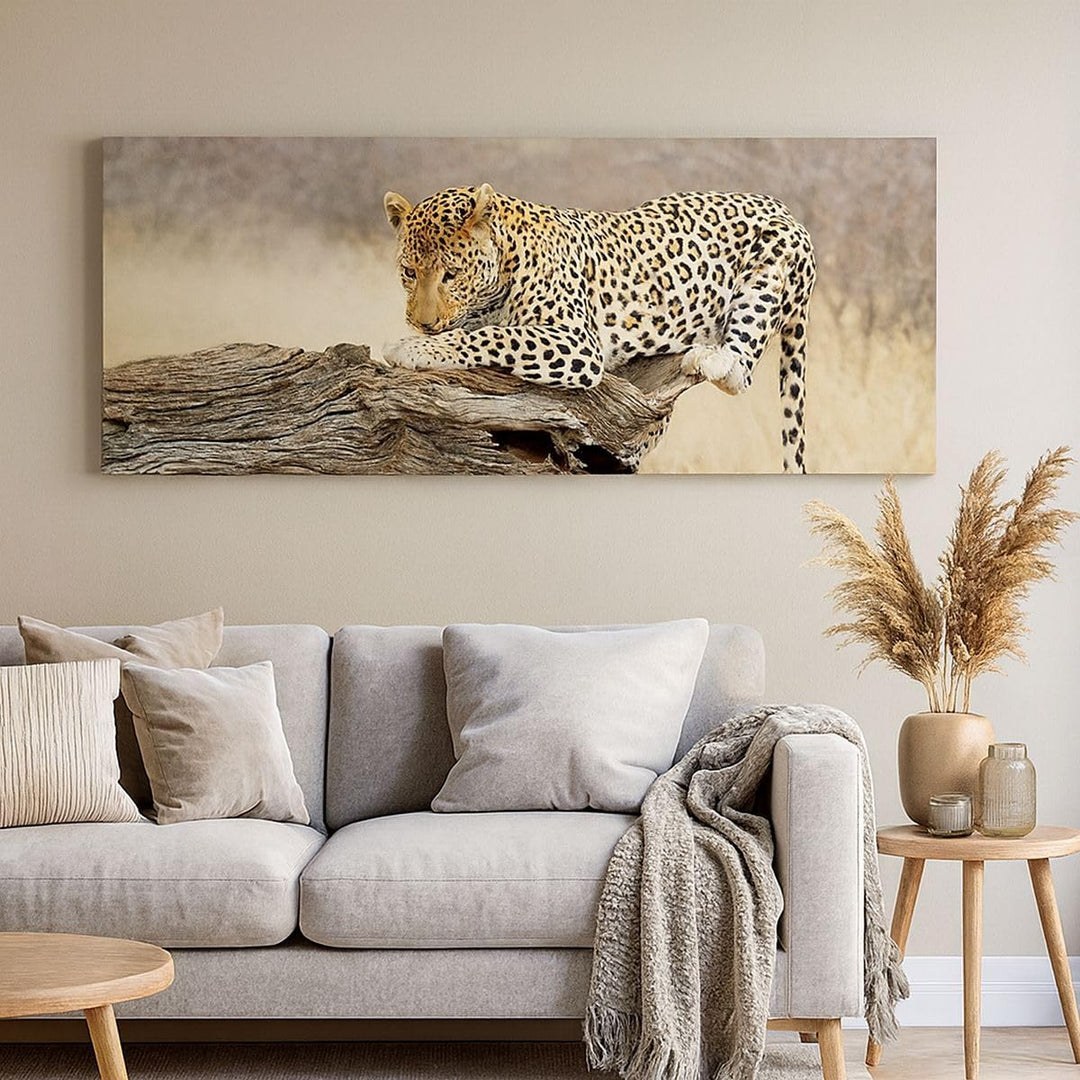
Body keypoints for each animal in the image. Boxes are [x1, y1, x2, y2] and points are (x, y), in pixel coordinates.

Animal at [381, 183, 816, 472]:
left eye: (451, 275)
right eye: (409, 272)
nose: (422, 322)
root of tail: (786, 209)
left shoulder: (578, 344)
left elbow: (495, 336)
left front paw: (414, 349)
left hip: (769, 265)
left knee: (739, 370)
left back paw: (712, 359)